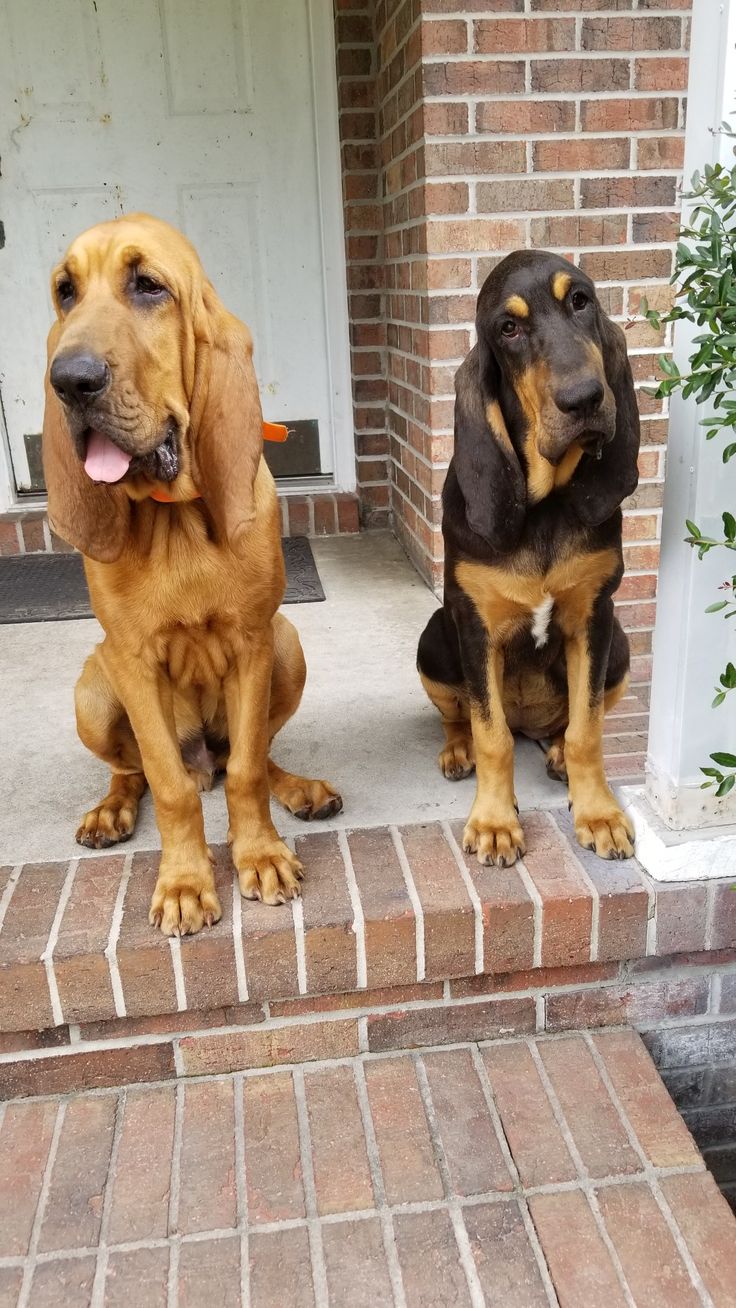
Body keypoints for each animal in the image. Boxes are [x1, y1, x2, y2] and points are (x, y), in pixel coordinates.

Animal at [44, 214, 345, 931]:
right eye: (66, 292)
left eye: (148, 286)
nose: (69, 380)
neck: (173, 520)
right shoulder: (130, 658)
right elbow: (168, 785)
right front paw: (184, 883)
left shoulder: (254, 643)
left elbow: (249, 771)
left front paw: (259, 856)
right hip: (93, 688)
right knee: (136, 772)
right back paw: (110, 811)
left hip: (289, 647)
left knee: (246, 757)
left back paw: (300, 790)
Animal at [420, 253, 640, 868]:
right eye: (508, 329)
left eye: (581, 302)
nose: (585, 399)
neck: (544, 506)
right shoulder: (474, 625)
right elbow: (490, 735)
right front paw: (496, 823)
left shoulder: (594, 618)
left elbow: (589, 729)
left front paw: (599, 814)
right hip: (434, 639)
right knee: (461, 716)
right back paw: (457, 752)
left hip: (620, 650)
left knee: (570, 724)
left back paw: (558, 753)